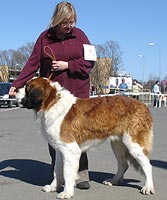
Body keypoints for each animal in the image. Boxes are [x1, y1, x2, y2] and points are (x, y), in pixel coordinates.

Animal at [16, 77, 155, 199]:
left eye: (27, 87)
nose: (16, 89)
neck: (52, 103)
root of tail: (143, 105)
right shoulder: (60, 150)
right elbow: (57, 170)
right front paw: (53, 187)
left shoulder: (70, 150)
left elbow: (67, 172)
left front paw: (67, 193)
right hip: (118, 144)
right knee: (123, 164)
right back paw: (113, 180)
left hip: (133, 144)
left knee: (147, 166)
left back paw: (148, 187)